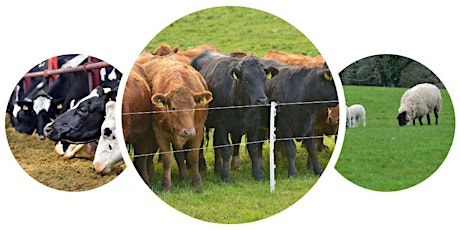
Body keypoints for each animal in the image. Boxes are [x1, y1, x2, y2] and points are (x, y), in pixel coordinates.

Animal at [143, 57, 213, 190]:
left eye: (194, 107)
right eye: (173, 108)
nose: (188, 131)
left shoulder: (198, 130)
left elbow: (193, 157)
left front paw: (197, 182)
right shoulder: (159, 133)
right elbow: (167, 159)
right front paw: (165, 185)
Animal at [190, 49, 278, 181]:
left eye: (264, 78)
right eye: (246, 79)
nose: (262, 100)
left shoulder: (254, 124)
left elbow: (253, 148)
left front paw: (258, 174)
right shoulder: (221, 126)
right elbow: (226, 150)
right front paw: (226, 176)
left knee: (216, 146)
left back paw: (217, 168)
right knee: (200, 144)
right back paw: (203, 167)